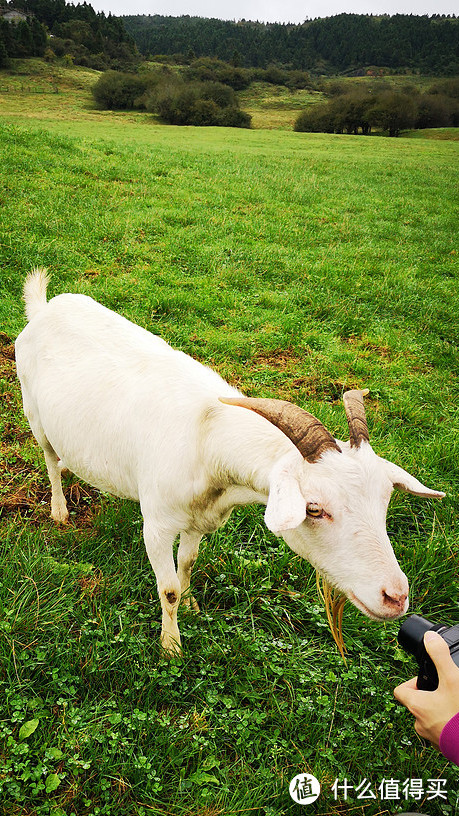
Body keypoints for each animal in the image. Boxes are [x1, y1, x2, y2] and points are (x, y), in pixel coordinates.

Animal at [16, 270, 444, 652]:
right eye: (314, 508)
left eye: (385, 500)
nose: (395, 597)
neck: (206, 438)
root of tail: (43, 309)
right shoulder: (156, 525)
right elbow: (167, 589)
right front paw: (171, 647)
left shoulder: (201, 518)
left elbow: (188, 564)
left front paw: (191, 604)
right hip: (34, 413)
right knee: (49, 458)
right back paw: (59, 509)